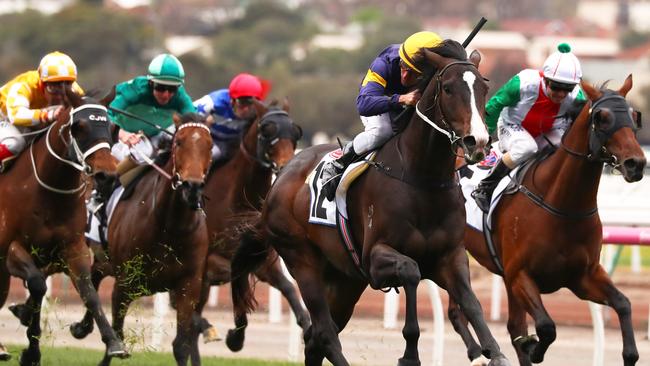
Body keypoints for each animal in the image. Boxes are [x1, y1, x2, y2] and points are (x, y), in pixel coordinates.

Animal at [0, 87, 125, 364]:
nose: (107, 175)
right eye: (79, 127)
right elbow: (37, 284)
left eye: (112, 127)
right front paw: (31, 346)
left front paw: (113, 342)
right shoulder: (11, 249)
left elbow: (89, 292)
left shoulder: (72, 248)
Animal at [197, 99, 308, 348]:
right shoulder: (211, 261)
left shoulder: (264, 260)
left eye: (295, 131)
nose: (287, 166)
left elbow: (289, 288)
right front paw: (235, 337)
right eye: (266, 130)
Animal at [230, 40, 508, 366]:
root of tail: (281, 179)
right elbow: (412, 272)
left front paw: (494, 351)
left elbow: (470, 300)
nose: (477, 141)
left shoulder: (449, 257)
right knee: (324, 332)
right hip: (302, 260)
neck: (421, 178)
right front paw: (410, 354)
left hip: (345, 280)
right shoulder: (375, 260)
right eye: (449, 88)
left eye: (483, 89)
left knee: (315, 339)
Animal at [448, 76, 644, 364]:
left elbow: (623, 303)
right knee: (456, 311)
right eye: (602, 118)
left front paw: (629, 353)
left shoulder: (582, 276)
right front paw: (532, 347)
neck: (562, 205)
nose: (636, 164)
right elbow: (546, 326)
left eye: (633, 116)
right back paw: (479, 352)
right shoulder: (520, 276)